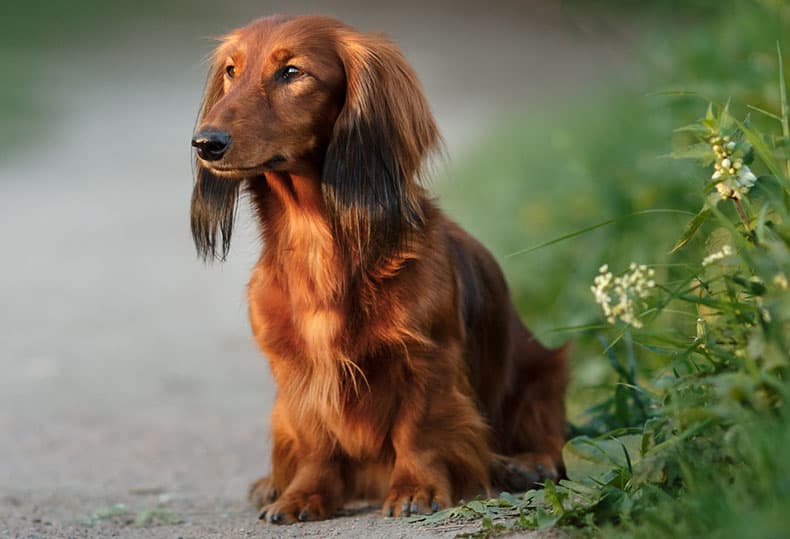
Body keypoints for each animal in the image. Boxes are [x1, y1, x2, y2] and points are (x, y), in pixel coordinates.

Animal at [193, 14, 568, 524]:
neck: (318, 243)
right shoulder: (295, 371)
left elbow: (419, 428)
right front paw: (302, 495)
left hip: (543, 373)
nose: (205, 142)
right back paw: (271, 483)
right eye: (232, 71)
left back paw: (526, 464)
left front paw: (415, 488)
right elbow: (315, 439)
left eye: (292, 72)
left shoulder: (427, 355)